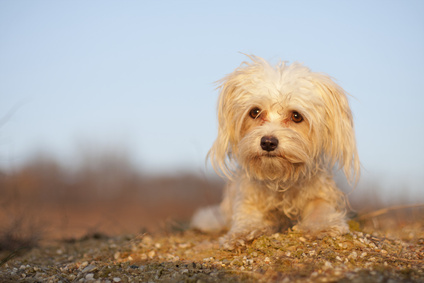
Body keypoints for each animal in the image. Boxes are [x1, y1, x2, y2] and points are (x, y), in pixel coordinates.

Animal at [190, 55, 360, 251]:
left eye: (296, 116)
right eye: (255, 112)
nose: (268, 142)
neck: (280, 178)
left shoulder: (321, 193)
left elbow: (320, 208)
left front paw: (323, 225)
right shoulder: (248, 199)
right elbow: (248, 218)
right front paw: (241, 233)